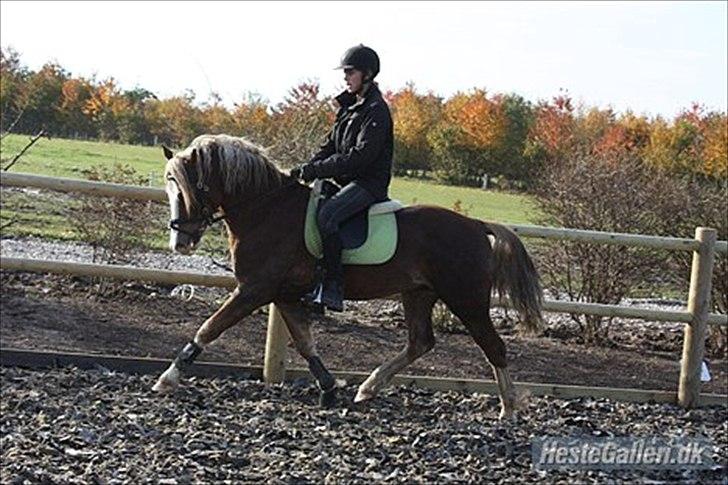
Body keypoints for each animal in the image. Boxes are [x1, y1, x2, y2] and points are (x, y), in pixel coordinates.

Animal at [152, 133, 540, 420]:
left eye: (189, 188)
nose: (180, 242)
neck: (266, 209)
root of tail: (476, 225)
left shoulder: (254, 290)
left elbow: (210, 327)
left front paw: (168, 378)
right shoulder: (283, 294)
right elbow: (305, 343)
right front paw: (329, 389)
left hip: (466, 299)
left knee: (493, 346)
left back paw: (508, 409)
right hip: (418, 293)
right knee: (420, 342)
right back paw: (368, 388)